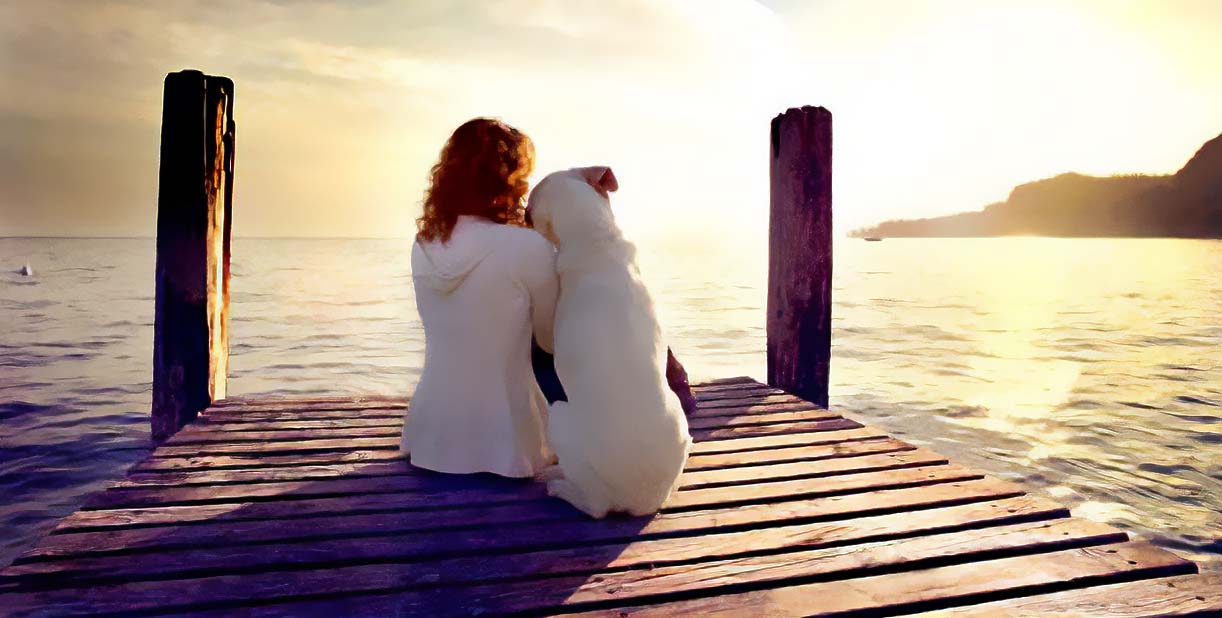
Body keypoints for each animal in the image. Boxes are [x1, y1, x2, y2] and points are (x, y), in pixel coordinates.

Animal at [527, 166, 694, 517]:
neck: (594, 236)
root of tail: (639, 502)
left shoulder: (549, 335)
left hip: (559, 415)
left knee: (595, 507)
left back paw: (561, 487)